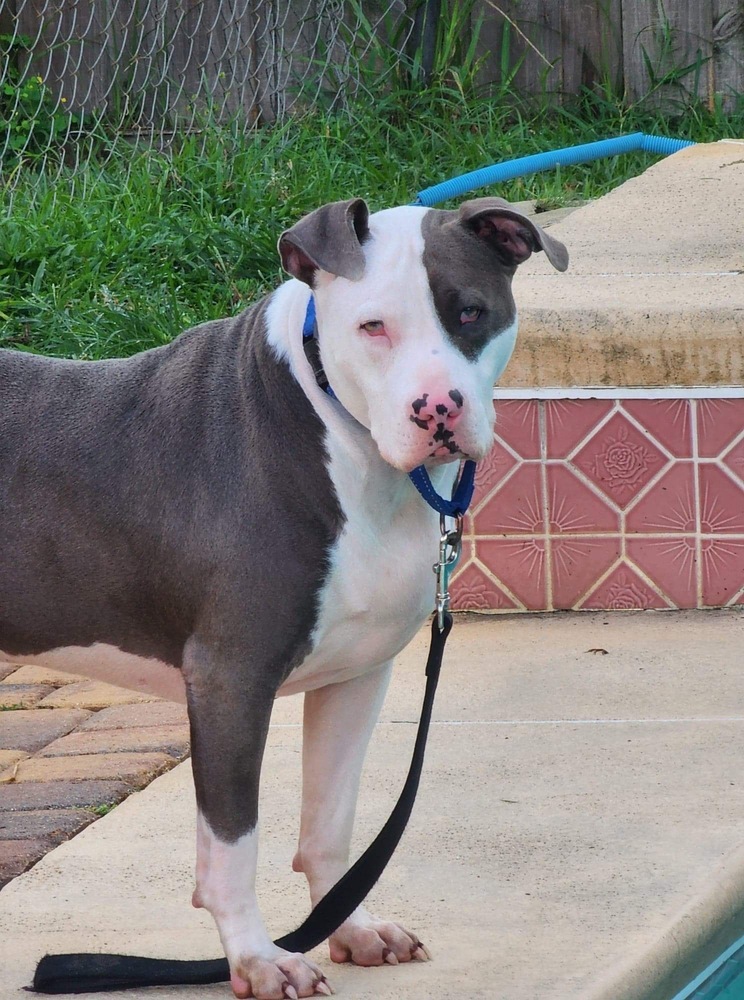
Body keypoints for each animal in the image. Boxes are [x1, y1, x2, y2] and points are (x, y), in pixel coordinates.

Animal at [0, 197, 568, 1000]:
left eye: (469, 311)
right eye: (372, 326)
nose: (437, 409)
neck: (338, 435)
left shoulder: (357, 674)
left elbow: (331, 822)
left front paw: (351, 928)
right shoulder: (230, 679)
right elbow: (232, 846)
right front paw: (257, 957)